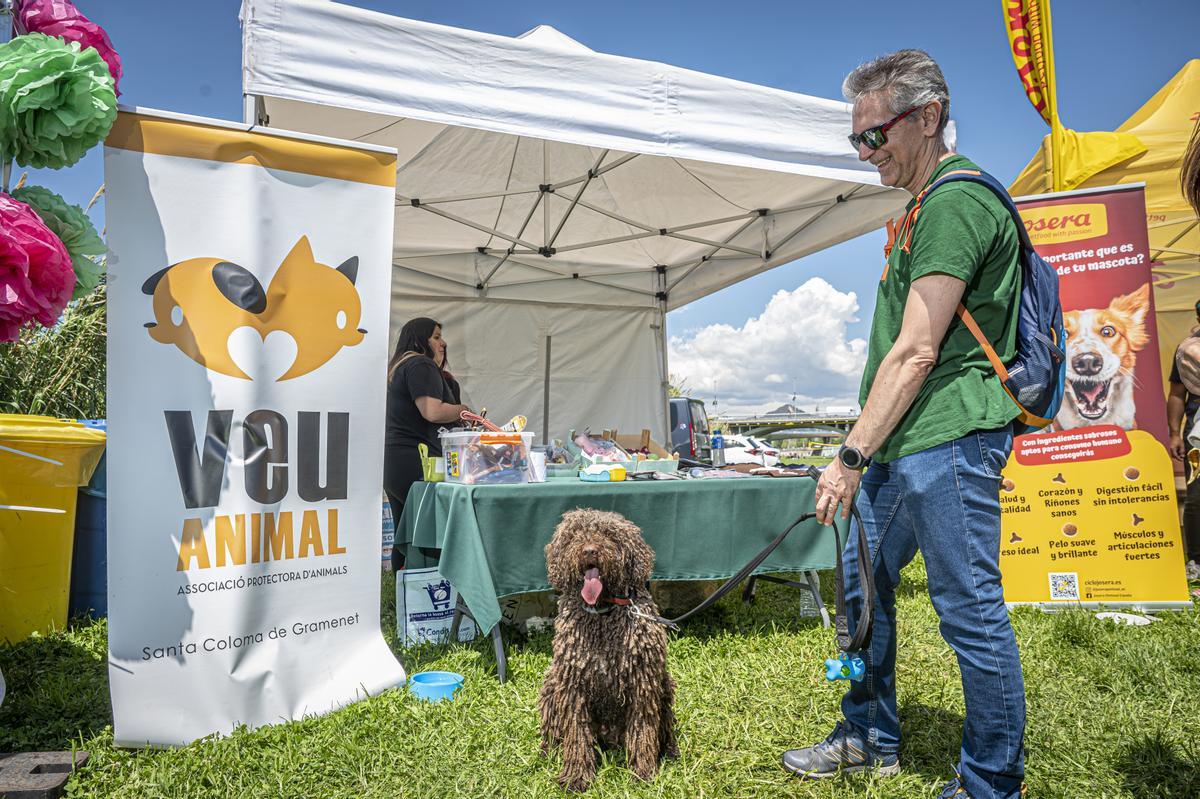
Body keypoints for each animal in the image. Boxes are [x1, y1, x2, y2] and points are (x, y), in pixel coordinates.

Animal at [540, 506, 681, 787]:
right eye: (575, 534)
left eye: (609, 535)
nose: (589, 551)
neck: (603, 615)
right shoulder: (573, 687)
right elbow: (577, 735)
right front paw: (577, 776)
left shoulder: (642, 684)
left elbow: (643, 731)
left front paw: (643, 771)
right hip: (552, 684)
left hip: (663, 685)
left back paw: (670, 751)